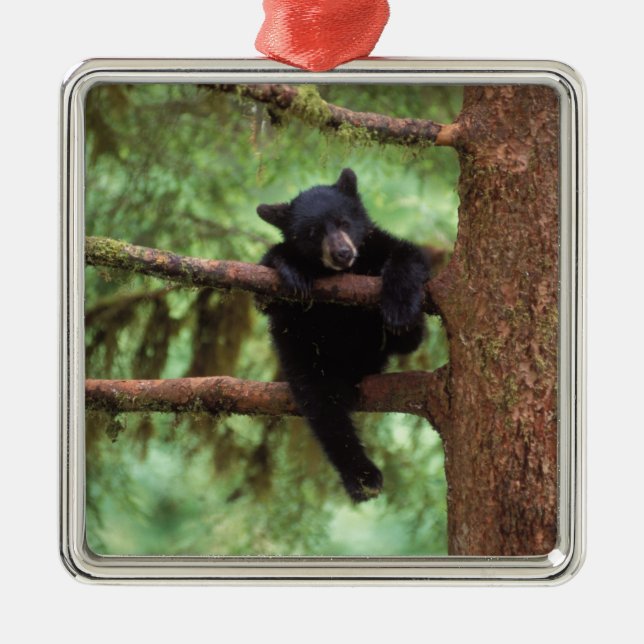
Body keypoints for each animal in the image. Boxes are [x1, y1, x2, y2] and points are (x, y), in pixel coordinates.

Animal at [257, 168, 431, 502]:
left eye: (343, 222)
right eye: (313, 232)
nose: (342, 253)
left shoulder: (377, 246)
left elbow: (409, 254)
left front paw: (399, 307)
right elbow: (264, 295)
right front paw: (291, 268)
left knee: (410, 341)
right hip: (305, 360)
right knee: (325, 412)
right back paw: (362, 476)